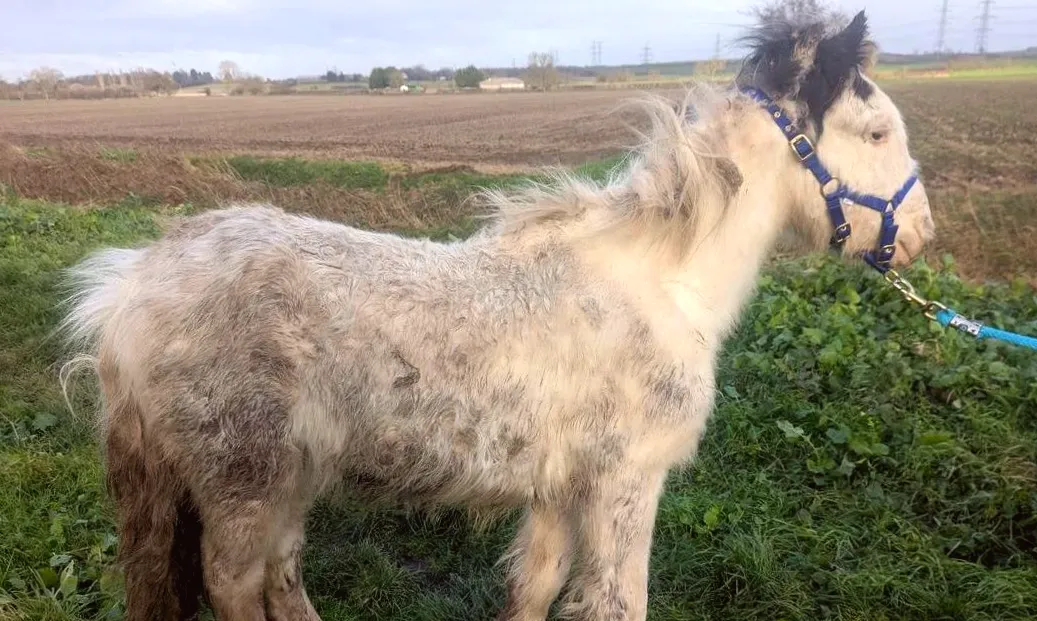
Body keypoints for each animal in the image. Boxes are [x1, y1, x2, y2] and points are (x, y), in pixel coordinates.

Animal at [58, 10, 935, 621]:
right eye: (875, 131)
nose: (921, 235)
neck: (660, 283)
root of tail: (130, 286)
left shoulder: (558, 488)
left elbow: (534, 588)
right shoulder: (626, 481)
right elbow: (618, 601)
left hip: (290, 476)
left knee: (281, 575)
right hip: (242, 476)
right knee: (236, 584)